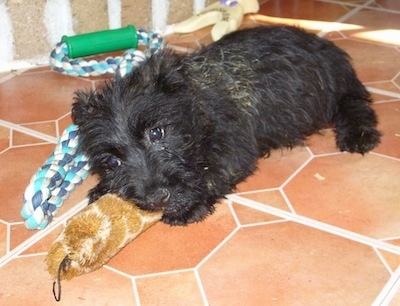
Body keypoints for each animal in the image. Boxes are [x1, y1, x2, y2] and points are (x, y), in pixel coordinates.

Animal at [72, 25, 382, 225]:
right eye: (112, 162)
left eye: (156, 132)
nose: (157, 199)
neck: (195, 101)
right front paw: (102, 190)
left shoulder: (235, 146)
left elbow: (215, 172)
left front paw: (190, 204)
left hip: (338, 87)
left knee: (354, 103)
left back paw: (358, 134)